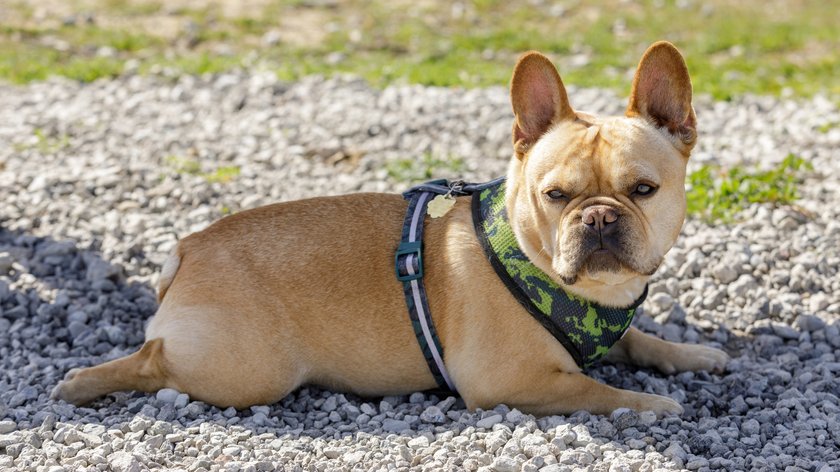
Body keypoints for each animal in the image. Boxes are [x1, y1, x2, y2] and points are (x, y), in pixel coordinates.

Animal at [54, 41, 728, 416]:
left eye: (643, 190)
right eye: (556, 196)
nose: (598, 216)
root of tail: (188, 250)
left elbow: (640, 340)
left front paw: (692, 354)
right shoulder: (512, 382)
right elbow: (596, 391)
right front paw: (651, 404)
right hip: (249, 371)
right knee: (152, 361)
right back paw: (82, 384)